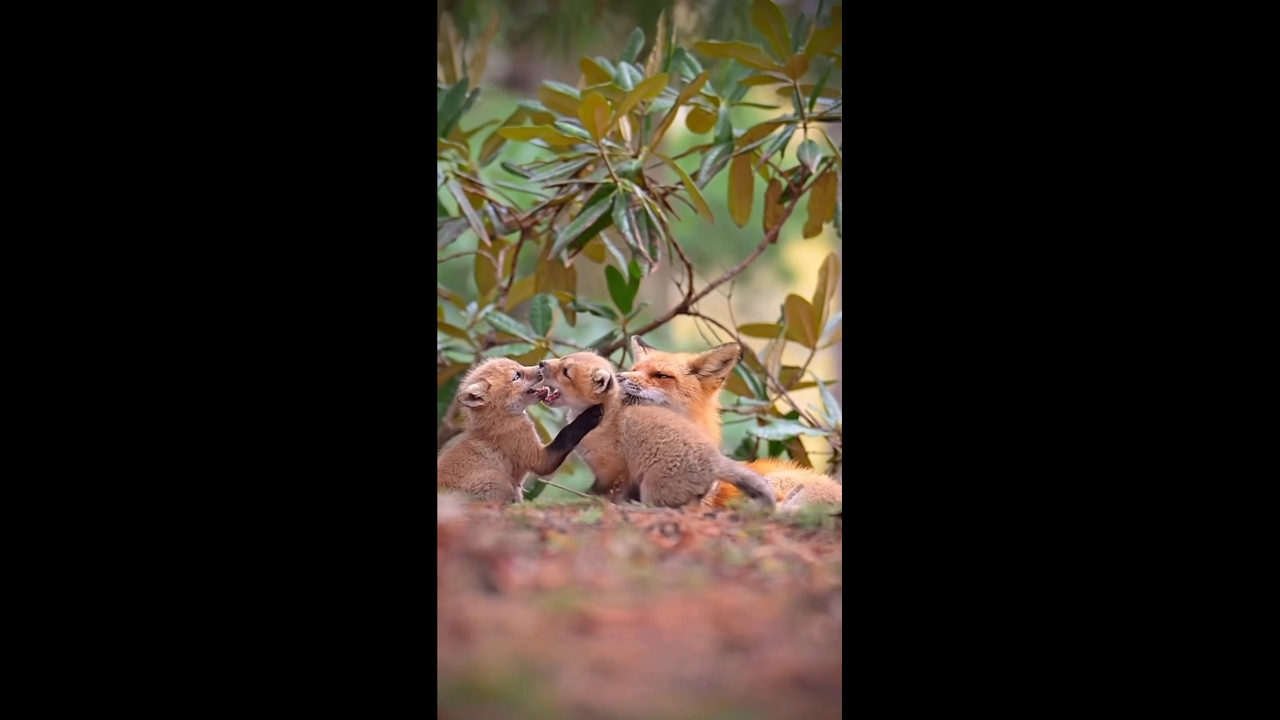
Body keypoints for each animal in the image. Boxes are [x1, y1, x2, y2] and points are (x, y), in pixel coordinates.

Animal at [436, 357, 604, 503]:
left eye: (520, 366)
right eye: (517, 376)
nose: (541, 364)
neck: (499, 423)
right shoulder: (538, 459)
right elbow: (567, 433)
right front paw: (590, 414)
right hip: (496, 483)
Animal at [534, 352, 776, 511]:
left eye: (566, 372)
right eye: (562, 359)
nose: (541, 363)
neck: (605, 418)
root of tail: (716, 460)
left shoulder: (614, 471)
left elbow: (599, 494)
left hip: (653, 489)